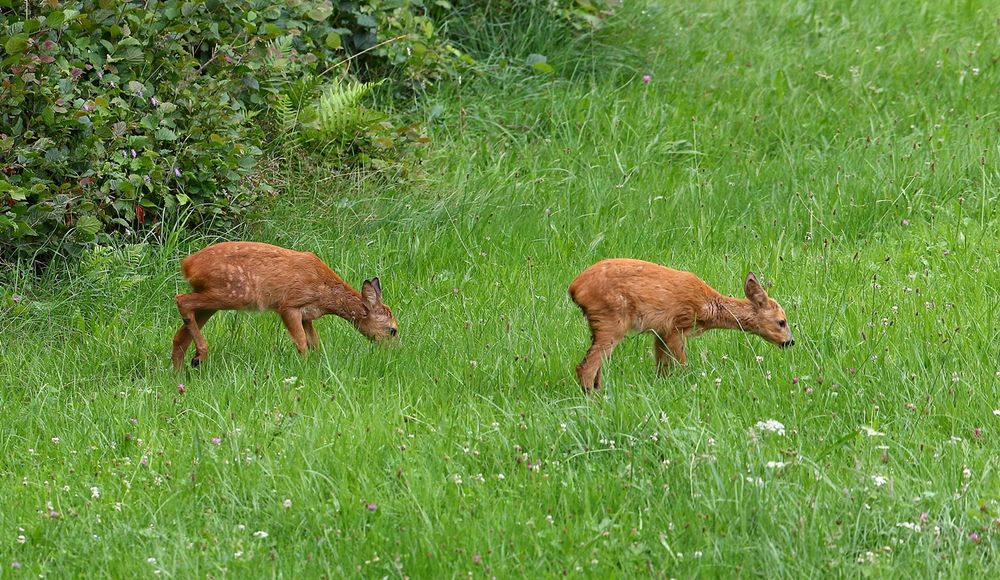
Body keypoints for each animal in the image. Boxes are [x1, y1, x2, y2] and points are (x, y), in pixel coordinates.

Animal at [172, 241, 394, 372]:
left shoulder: (307, 316)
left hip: (214, 301)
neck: (325, 293)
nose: (394, 351)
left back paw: (181, 372)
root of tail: (188, 264)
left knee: (179, 335)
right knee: (182, 299)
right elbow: (302, 343)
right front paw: (304, 370)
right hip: (231, 293)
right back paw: (200, 355)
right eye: (393, 330)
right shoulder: (289, 305)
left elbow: (315, 343)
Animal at [572, 260, 796, 392]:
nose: (790, 342)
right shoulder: (676, 326)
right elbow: (682, 364)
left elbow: (661, 367)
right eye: (781, 322)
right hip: (611, 319)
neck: (707, 307)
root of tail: (574, 288)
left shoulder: (660, 332)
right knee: (586, 367)